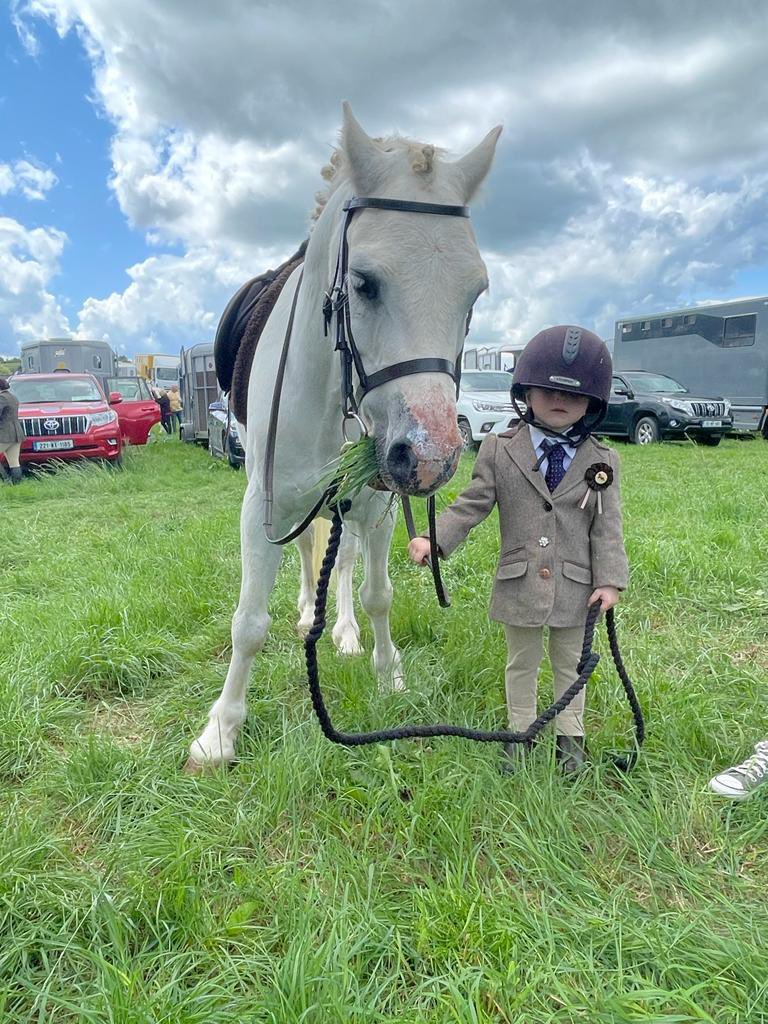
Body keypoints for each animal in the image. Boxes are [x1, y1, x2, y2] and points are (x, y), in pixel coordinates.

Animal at [187, 103, 501, 768]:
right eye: (364, 282)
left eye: (474, 292)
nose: (431, 457)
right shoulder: (265, 505)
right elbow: (248, 621)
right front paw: (221, 731)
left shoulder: (379, 500)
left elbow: (379, 592)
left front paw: (388, 673)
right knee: (311, 552)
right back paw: (310, 610)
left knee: (346, 558)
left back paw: (345, 630)